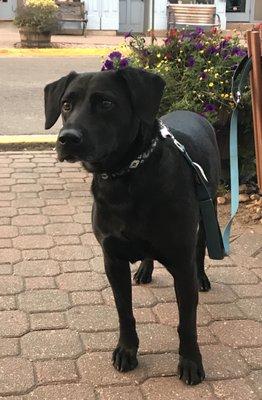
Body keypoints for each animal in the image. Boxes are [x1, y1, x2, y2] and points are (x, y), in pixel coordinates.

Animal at [44, 67, 220, 386]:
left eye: (106, 103)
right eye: (66, 104)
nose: (67, 139)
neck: (125, 177)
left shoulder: (181, 263)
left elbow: (187, 322)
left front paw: (190, 361)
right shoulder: (112, 259)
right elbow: (124, 311)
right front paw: (126, 350)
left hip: (208, 206)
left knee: (201, 249)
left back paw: (202, 277)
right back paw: (145, 270)